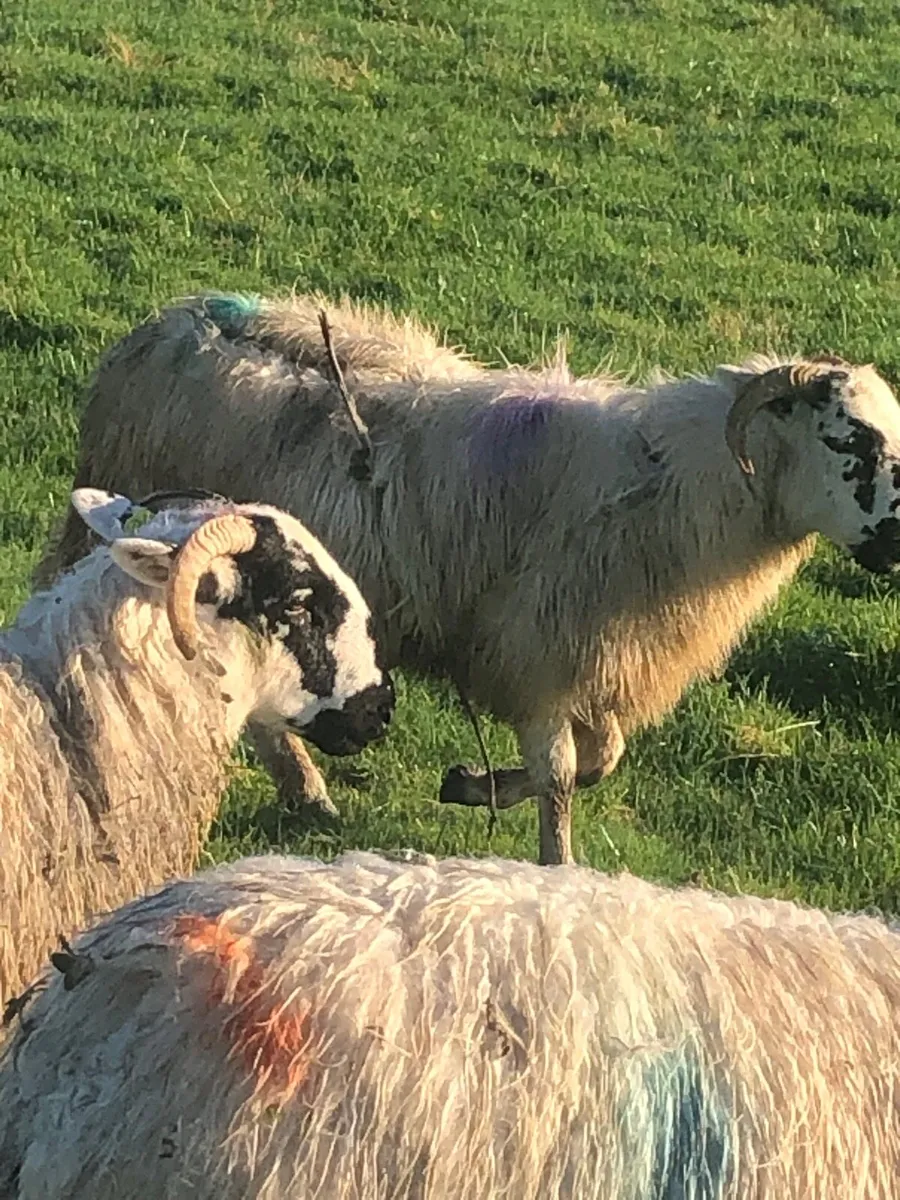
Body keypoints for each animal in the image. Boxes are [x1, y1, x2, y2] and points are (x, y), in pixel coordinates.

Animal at [34, 292, 900, 864]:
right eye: (849, 439)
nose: (896, 544)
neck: (663, 482)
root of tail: (165, 324)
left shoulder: (591, 658)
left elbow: (604, 758)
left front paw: (471, 784)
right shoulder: (539, 657)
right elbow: (564, 777)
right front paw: (556, 864)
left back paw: (307, 790)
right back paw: (304, 786)